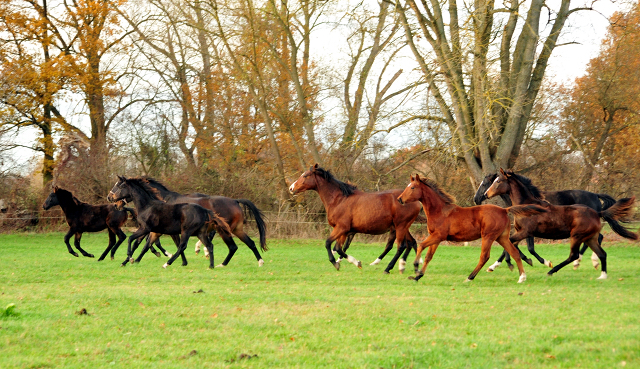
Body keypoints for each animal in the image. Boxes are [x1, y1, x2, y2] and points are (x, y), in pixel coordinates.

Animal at [290, 164, 424, 274]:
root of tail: (416, 202)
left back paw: (389, 268)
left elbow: (328, 243)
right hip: (402, 227)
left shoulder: (341, 228)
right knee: (410, 243)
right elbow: (339, 248)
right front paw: (355, 263)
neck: (339, 199)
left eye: (305, 175)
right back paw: (409, 266)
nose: (291, 188)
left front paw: (336, 263)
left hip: (400, 226)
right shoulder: (344, 231)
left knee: (401, 246)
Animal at [398, 174, 548, 284]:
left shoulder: (439, 236)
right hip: (502, 237)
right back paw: (522, 277)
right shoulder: (436, 237)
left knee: (484, 256)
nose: (399, 199)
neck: (440, 211)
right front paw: (418, 276)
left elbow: (421, 245)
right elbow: (429, 256)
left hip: (488, 236)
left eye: (412, 187)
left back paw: (469, 277)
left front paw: (415, 267)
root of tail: (504, 210)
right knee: (514, 253)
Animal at [482, 168, 636, 278]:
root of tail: (597, 213)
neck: (527, 205)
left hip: (577, 236)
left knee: (574, 255)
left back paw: (554, 270)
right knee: (602, 253)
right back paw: (602, 275)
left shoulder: (525, 232)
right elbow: (511, 245)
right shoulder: (521, 232)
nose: (485, 195)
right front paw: (496, 266)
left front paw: (510, 264)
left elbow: (510, 245)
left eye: (497, 181)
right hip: (589, 238)